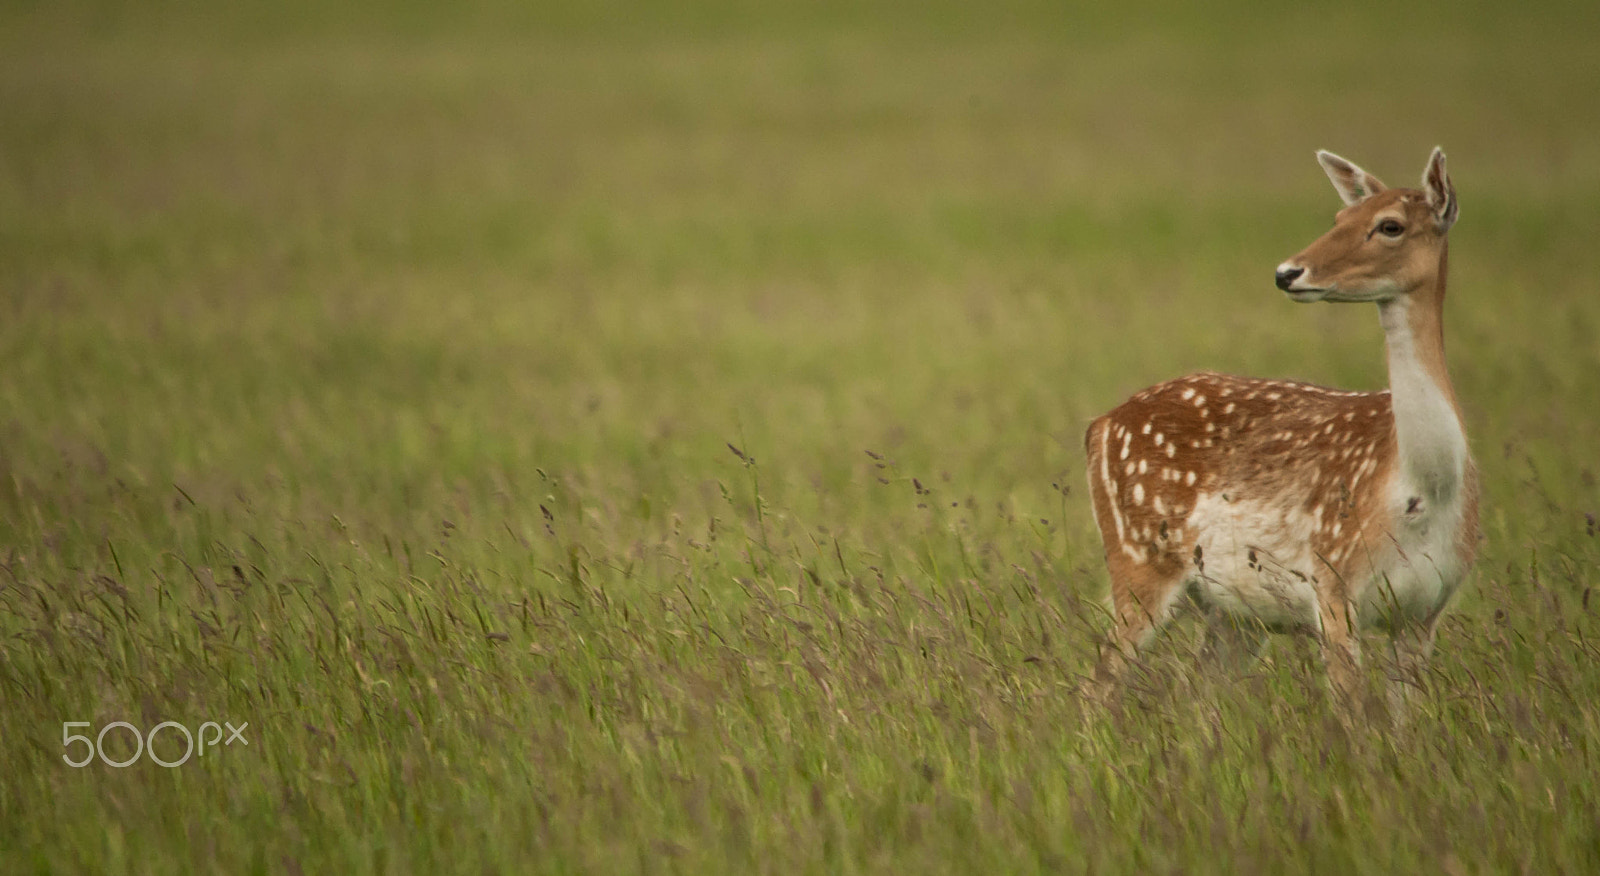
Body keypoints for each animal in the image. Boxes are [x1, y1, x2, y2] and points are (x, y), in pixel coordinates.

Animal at [1082, 147, 1478, 720]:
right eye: (1338, 217)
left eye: (1390, 225)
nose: (1288, 272)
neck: (1419, 491)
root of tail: (1099, 426)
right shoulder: (1333, 583)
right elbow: (1352, 717)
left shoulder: (1427, 609)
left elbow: (1402, 723)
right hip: (1139, 559)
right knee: (1099, 683)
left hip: (1233, 611)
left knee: (1198, 695)